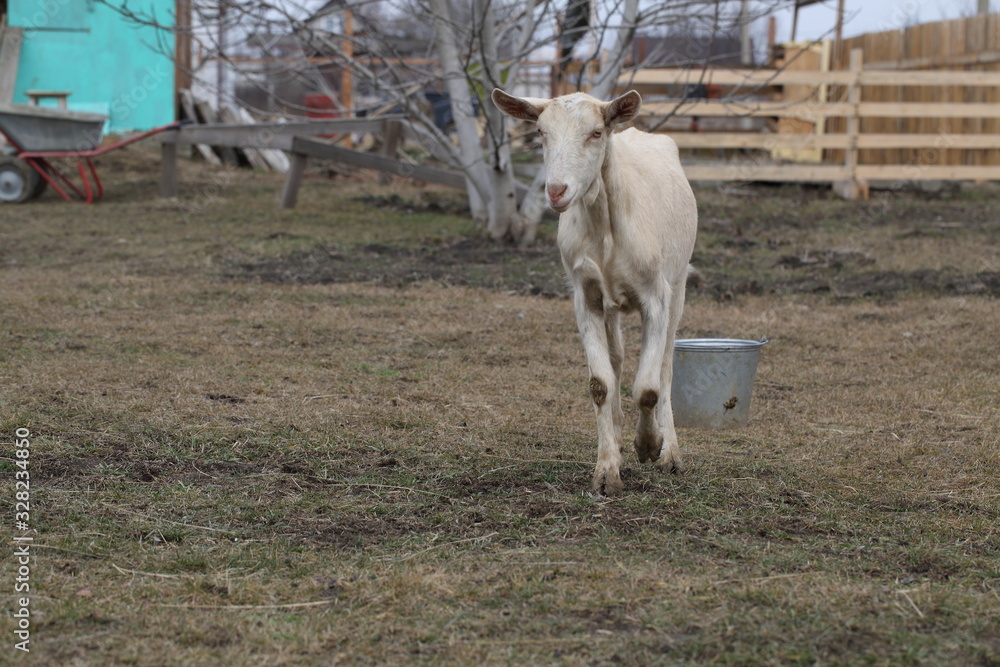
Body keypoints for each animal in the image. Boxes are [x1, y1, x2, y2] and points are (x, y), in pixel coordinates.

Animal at [492, 88, 698, 496]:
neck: (606, 229)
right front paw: (606, 472)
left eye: (596, 132)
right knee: (617, 358)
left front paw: (648, 445)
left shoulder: (656, 297)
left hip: (679, 283)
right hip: (611, 303)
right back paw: (617, 431)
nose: (556, 191)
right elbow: (600, 384)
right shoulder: (585, 296)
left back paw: (671, 455)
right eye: (540, 132)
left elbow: (648, 387)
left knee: (666, 366)